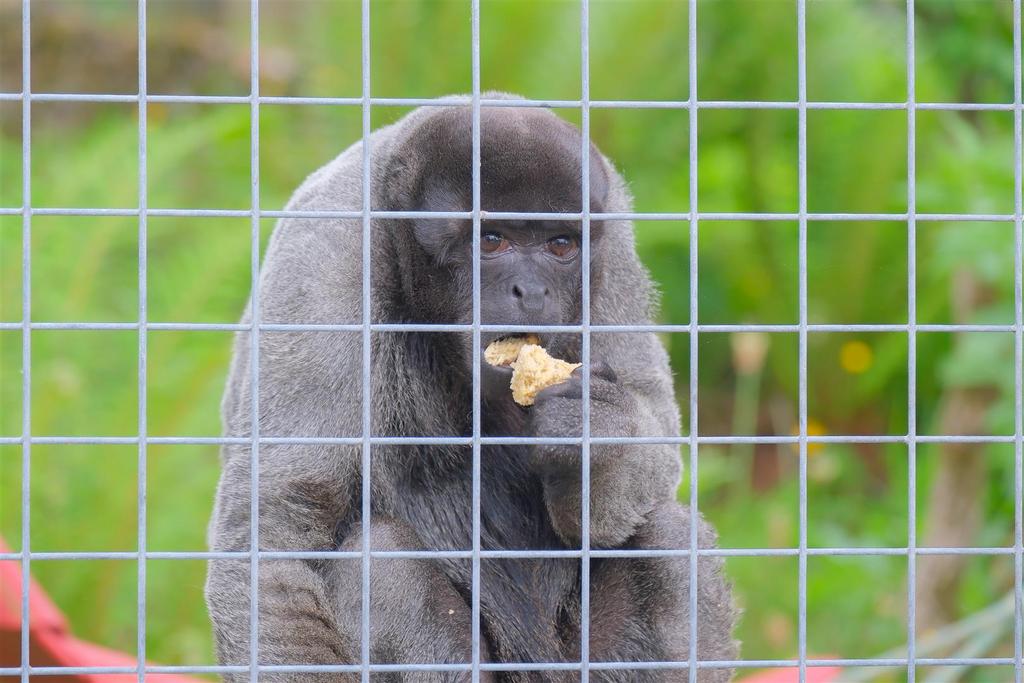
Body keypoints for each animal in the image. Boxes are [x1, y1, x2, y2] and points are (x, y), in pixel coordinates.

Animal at [205, 93, 738, 682]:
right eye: (492, 239)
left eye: (561, 245)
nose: (531, 291)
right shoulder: (325, 262)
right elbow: (279, 534)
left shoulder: (614, 245)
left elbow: (655, 427)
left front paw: (598, 438)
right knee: (380, 561)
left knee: (669, 537)